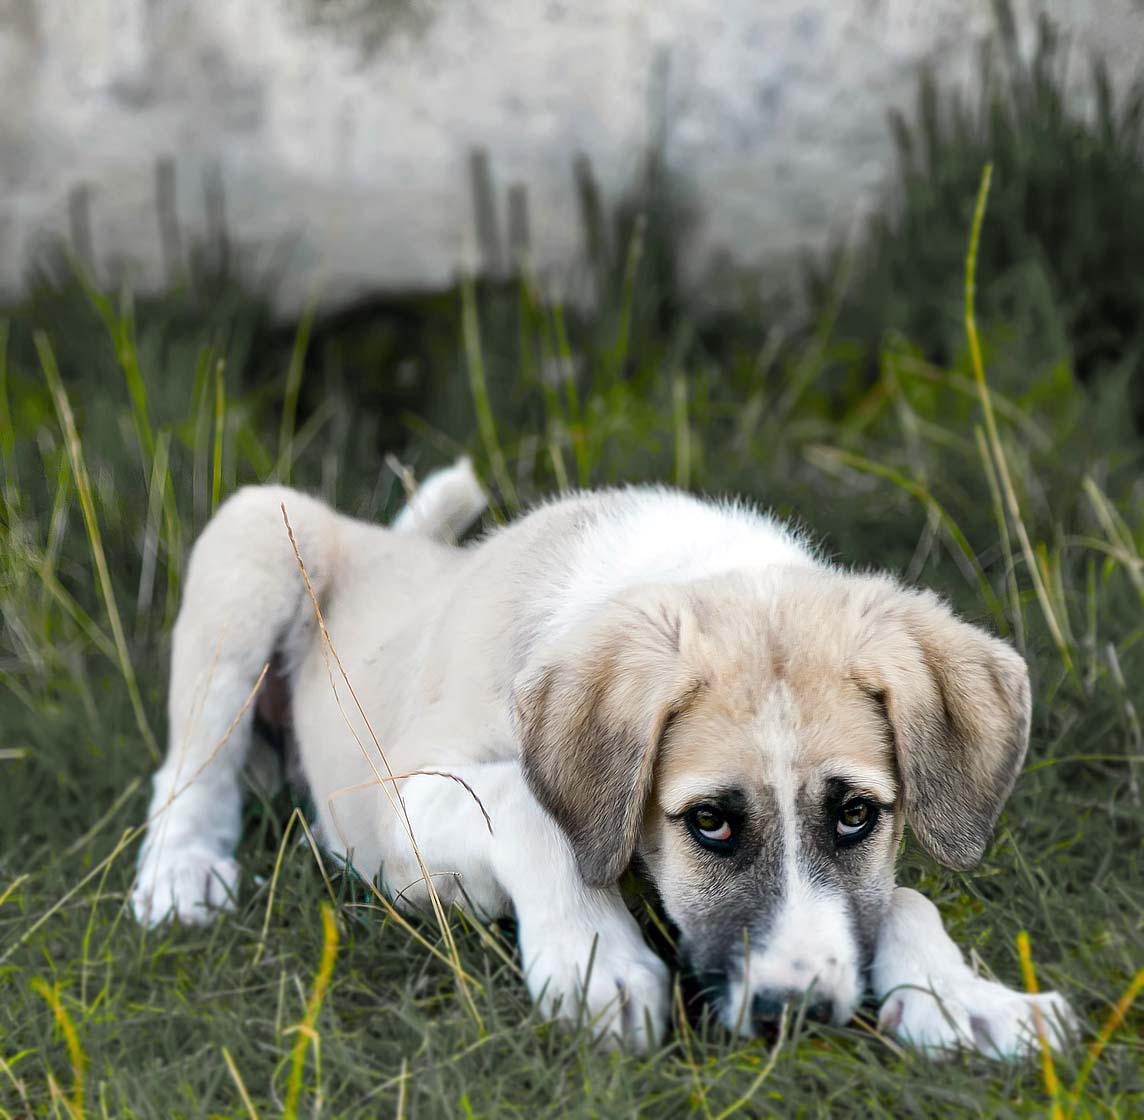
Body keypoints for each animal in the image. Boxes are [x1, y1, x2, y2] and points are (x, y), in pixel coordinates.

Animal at [129, 459, 1075, 1057]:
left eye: (855, 815)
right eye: (709, 822)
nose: (797, 1015)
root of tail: (384, 540)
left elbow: (905, 896)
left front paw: (966, 999)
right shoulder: (405, 801)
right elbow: (528, 809)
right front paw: (596, 962)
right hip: (255, 537)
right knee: (189, 766)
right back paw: (182, 874)